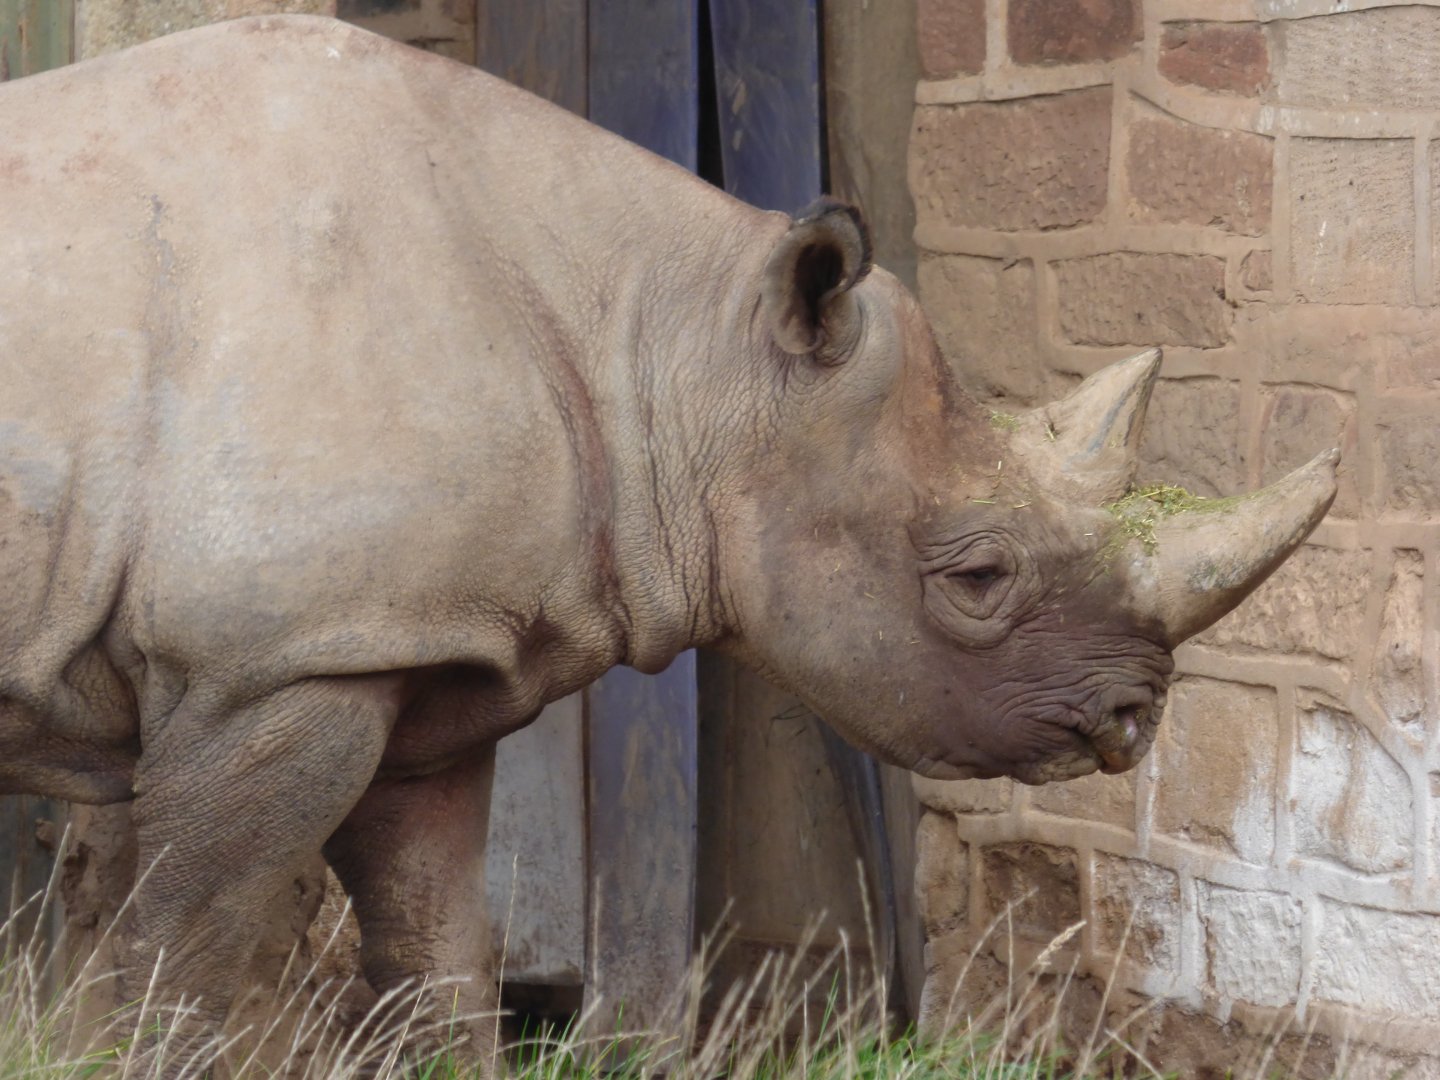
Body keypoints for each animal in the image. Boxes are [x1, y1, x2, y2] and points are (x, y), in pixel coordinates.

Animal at [0, 14, 1335, 1057]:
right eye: (978, 576)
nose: (1135, 717)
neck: (686, 347)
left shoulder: (402, 645)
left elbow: (435, 949)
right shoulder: (272, 662)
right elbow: (183, 952)